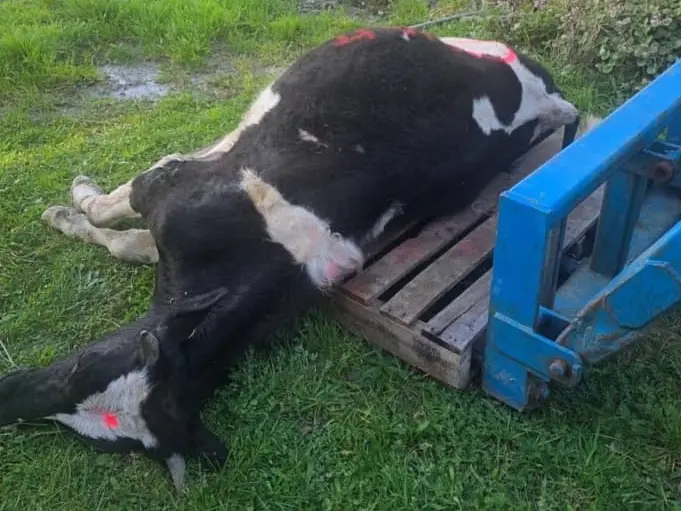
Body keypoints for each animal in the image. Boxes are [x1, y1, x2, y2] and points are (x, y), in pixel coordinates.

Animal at [0, 27, 582, 491]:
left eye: (83, 370)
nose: (10, 398)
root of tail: (551, 96)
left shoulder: (172, 188)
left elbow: (119, 223)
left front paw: (71, 205)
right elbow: (134, 225)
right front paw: (79, 202)